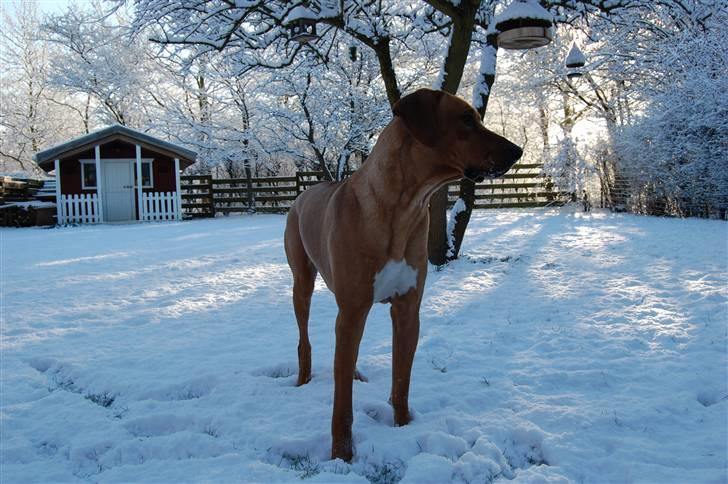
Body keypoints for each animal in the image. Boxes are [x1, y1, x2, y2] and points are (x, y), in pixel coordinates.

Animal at [284, 89, 524, 464]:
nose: (518, 151)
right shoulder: (353, 309)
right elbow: (342, 403)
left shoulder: (408, 309)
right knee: (305, 336)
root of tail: (304, 192)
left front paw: (402, 426)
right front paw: (341, 454)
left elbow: (401, 381)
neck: (402, 206)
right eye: (466, 119)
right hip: (302, 283)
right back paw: (304, 378)